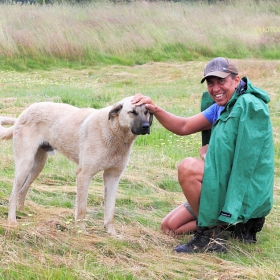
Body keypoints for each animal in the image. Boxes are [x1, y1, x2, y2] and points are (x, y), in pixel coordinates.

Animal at [0, 97, 153, 235]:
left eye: (147, 112)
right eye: (132, 112)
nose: (146, 127)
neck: (113, 132)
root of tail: (24, 112)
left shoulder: (113, 177)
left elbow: (110, 212)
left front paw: (112, 235)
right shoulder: (84, 175)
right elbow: (81, 209)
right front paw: (82, 232)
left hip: (37, 166)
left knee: (22, 191)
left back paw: (23, 213)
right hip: (25, 164)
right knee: (13, 194)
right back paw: (12, 221)